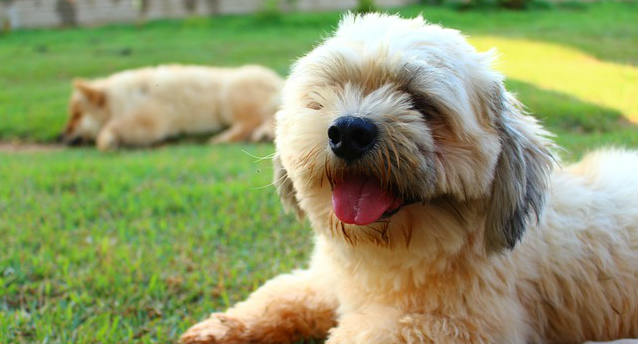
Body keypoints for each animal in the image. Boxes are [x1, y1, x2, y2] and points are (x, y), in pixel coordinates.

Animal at [60, 65, 282, 150]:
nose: (61, 136)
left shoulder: (151, 120)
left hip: (230, 99)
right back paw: (264, 135)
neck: (120, 100)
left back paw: (221, 138)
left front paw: (107, 140)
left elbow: (111, 127)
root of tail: (277, 81)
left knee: (249, 123)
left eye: (77, 115)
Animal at [181, 12, 638, 344]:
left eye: (421, 104)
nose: (349, 130)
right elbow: (282, 295)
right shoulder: (329, 281)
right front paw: (221, 327)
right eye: (327, 94)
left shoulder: (457, 325)